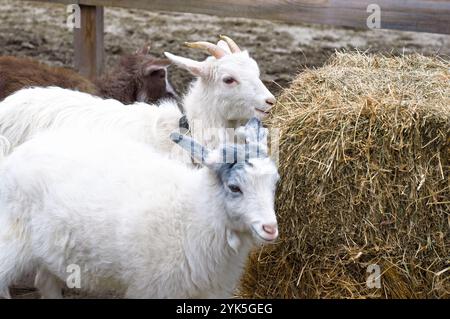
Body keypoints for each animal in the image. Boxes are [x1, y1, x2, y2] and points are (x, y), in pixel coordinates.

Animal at [0, 118, 280, 300]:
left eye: (274, 183)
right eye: (234, 187)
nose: (270, 228)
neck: (191, 215)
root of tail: (14, 156)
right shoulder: (152, 288)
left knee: (44, 282)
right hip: (12, 237)